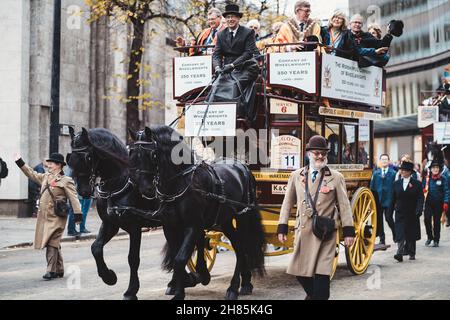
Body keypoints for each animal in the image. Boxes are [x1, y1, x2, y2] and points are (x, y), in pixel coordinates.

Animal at [128, 125, 266, 300]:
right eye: (131, 153)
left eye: (152, 154)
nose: (144, 188)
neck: (179, 183)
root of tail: (243, 166)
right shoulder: (170, 226)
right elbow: (177, 255)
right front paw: (193, 277)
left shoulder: (193, 226)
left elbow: (180, 258)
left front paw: (181, 290)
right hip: (225, 221)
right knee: (239, 247)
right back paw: (245, 283)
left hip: (242, 217)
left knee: (242, 246)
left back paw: (234, 287)